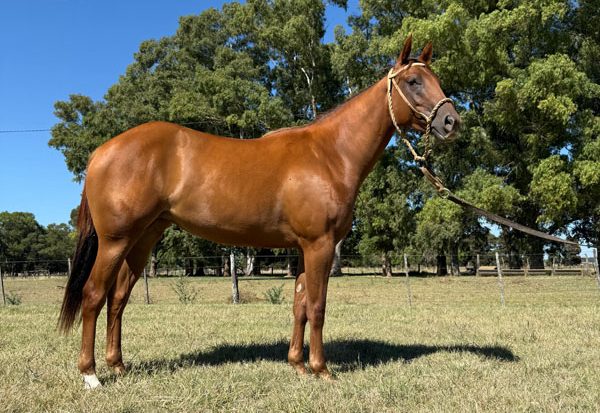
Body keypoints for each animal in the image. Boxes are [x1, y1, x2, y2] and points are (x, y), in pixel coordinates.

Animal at [59, 35, 460, 389]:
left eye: (436, 79)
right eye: (413, 81)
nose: (452, 122)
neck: (330, 154)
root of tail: (102, 151)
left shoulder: (303, 249)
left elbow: (299, 304)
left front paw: (298, 365)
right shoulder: (320, 245)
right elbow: (318, 306)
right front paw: (321, 370)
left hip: (143, 239)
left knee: (118, 298)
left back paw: (119, 365)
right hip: (115, 241)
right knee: (94, 296)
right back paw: (91, 374)